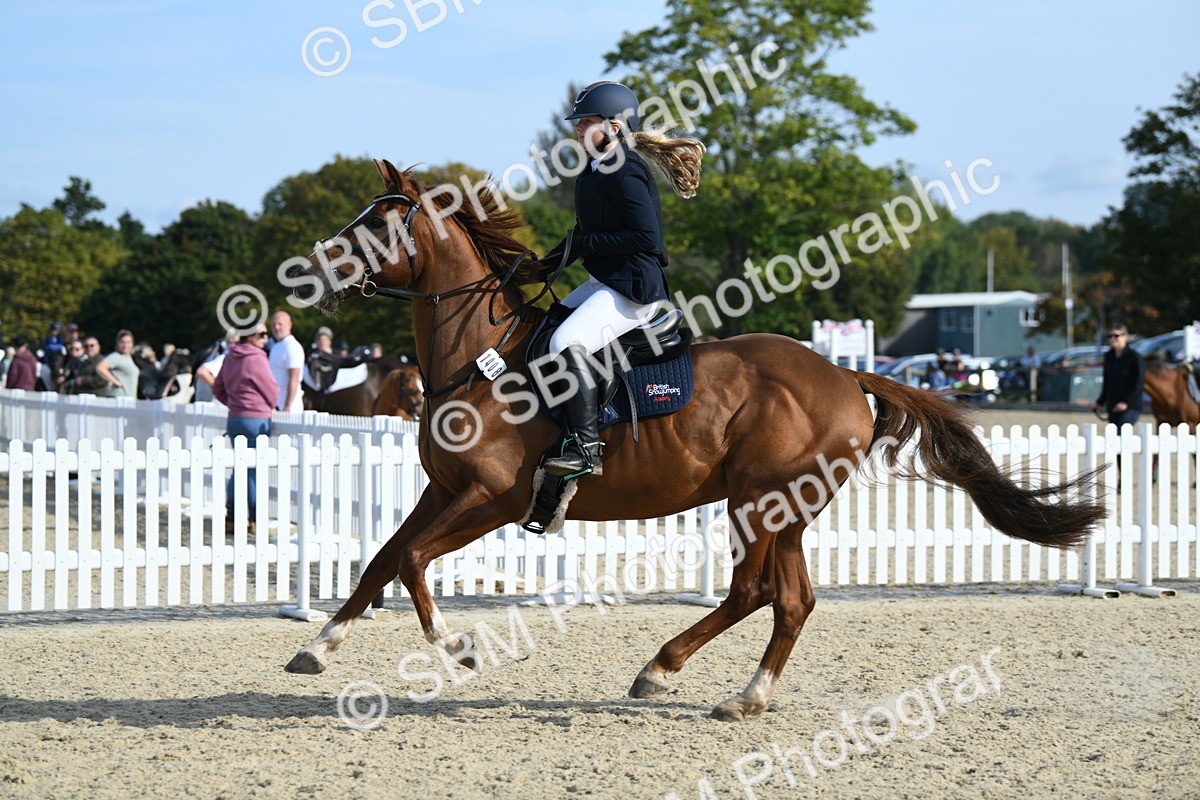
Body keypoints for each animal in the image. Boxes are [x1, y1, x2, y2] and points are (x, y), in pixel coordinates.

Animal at [282, 159, 1105, 721]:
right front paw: (318, 647)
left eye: (378, 225)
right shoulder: (446, 490)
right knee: (791, 600)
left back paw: (662, 669)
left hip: (761, 501)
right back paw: (744, 695)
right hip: (785, 510)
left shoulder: (491, 499)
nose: (305, 270)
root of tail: (843, 373)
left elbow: (414, 561)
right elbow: (383, 559)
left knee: (755, 591)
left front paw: (457, 648)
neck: (483, 360)